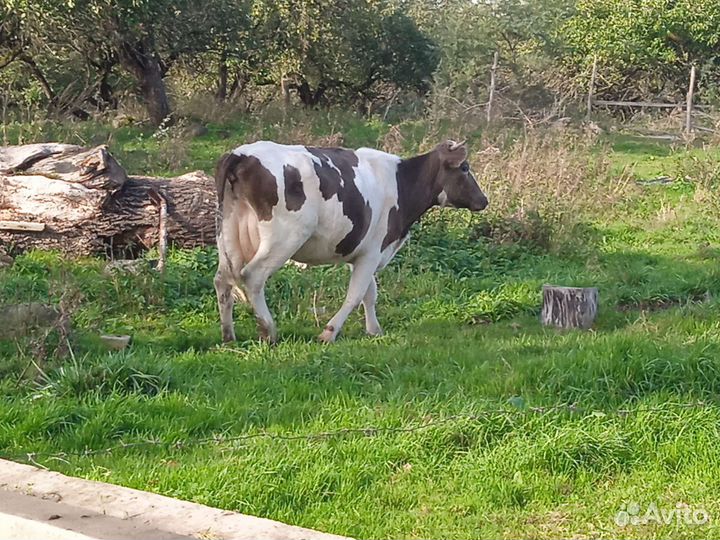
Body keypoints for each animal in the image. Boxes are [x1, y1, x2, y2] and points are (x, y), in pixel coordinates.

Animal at [213, 139, 488, 344]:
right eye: (465, 168)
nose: (484, 200)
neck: (401, 183)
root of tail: (241, 154)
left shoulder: (363, 252)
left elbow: (370, 293)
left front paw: (374, 330)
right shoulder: (373, 251)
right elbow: (355, 295)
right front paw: (329, 333)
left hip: (230, 235)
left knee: (223, 280)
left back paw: (228, 336)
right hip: (284, 238)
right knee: (252, 276)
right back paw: (268, 331)